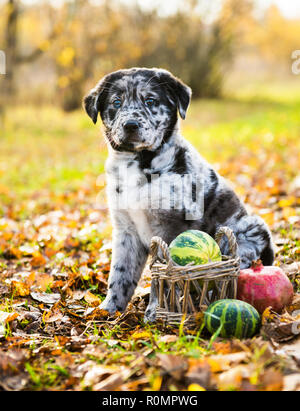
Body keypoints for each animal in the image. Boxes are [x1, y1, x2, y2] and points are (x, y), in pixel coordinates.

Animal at [83, 67, 276, 320]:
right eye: (116, 102)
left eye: (150, 101)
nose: (130, 125)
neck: (138, 164)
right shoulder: (125, 229)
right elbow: (120, 274)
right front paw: (109, 310)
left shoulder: (171, 225)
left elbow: (163, 277)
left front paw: (154, 313)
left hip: (246, 233)